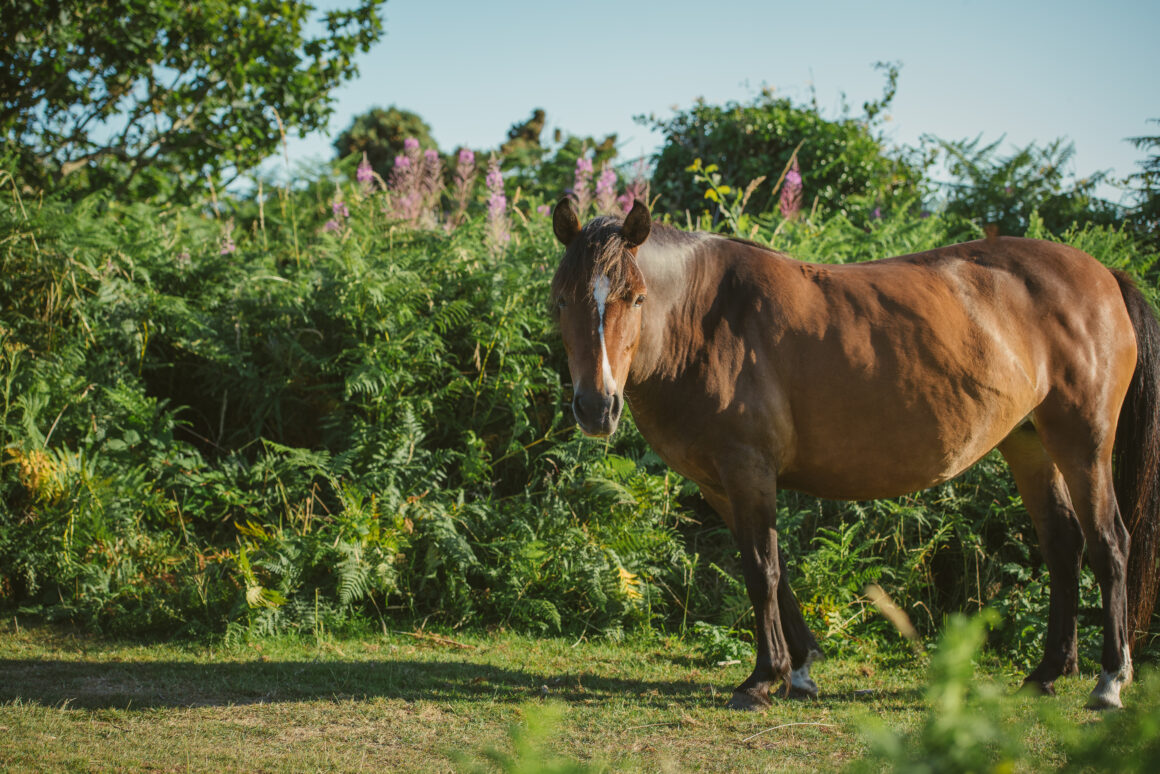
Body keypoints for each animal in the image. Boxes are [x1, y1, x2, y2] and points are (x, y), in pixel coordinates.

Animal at [547, 198, 1160, 710]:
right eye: (562, 300)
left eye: (636, 297)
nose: (596, 406)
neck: (705, 319)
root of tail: (1105, 275)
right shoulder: (721, 483)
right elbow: (774, 570)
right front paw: (799, 670)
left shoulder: (747, 470)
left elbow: (762, 570)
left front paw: (762, 677)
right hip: (1031, 444)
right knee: (1063, 545)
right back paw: (1047, 673)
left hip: (1083, 444)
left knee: (1109, 544)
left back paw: (1109, 680)